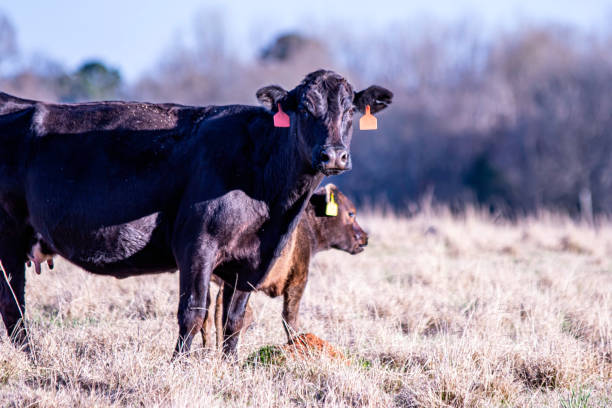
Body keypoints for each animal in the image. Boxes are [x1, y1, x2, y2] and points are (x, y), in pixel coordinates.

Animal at [0, 68, 392, 356]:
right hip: (10, 235)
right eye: (305, 110)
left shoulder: (248, 261)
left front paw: (231, 366)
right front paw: (180, 365)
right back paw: (34, 358)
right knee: (13, 305)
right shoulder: (197, 244)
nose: (334, 155)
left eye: (350, 111)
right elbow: (193, 313)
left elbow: (234, 319)